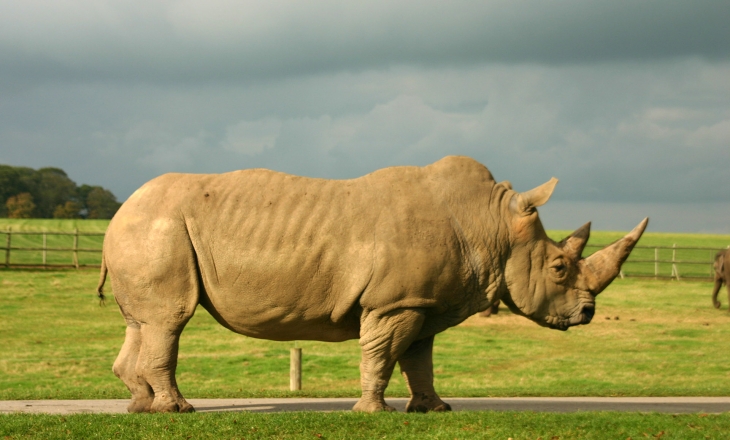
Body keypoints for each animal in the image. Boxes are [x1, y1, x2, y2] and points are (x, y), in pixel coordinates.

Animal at [96, 155, 647, 414]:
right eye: (558, 268)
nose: (587, 314)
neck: (490, 223)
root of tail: (119, 211)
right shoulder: (395, 301)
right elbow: (382, 353)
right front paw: (372, 412)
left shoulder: (425, 301)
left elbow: (420, 358)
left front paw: (434, 409)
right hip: (159, 228)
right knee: (170, 320)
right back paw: (177, 411)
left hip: (147, 230)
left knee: (141, 322)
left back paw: (141, 408)